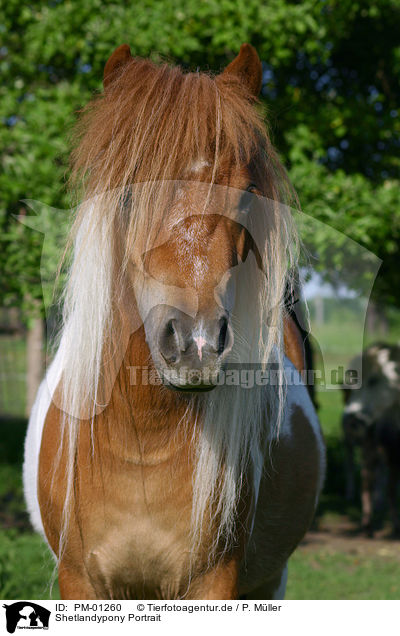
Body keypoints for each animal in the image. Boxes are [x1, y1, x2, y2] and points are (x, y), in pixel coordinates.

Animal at [23, 42, 324, 600]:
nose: (195, 344)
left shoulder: (215, 583)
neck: (140, 447)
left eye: (248, 193)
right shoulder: (80, 581)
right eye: (128, 193)